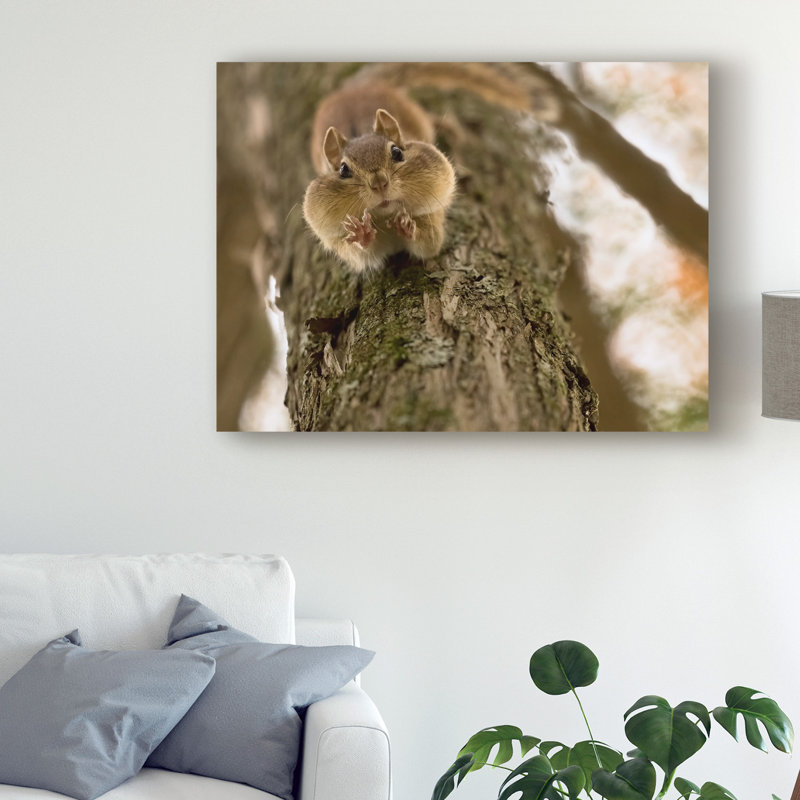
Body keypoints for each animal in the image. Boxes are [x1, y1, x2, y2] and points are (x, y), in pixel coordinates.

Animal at [302, 64, 553, 274]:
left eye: (397, 152)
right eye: (343, 170)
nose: (379, 183)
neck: (385, 218)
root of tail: (356, 88)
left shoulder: (431, 215)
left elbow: (429, 244)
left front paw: (406, 226)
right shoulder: (346, 246)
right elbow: (362, 255)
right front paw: (361, 233)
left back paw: (449, 127)